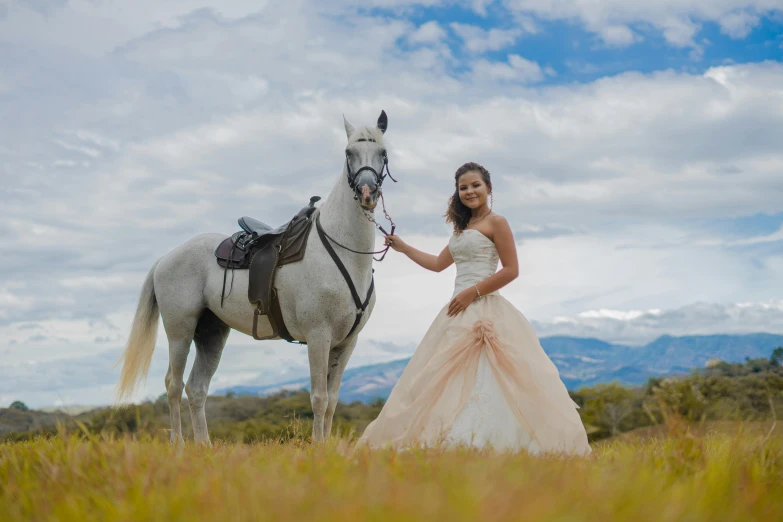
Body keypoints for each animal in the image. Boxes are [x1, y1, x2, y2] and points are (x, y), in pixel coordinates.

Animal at [115, 110, 392, 442]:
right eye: (348, 152)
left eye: (383, 153)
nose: (366, 192)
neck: (343, 251)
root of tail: (167, 257)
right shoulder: (318, 336)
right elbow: (319, 398)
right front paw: (317, 446)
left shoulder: (346, 343)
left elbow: (333, 401)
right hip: (180, 330)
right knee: (173, 385)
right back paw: (179, 445)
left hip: (211, 333)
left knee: (196, 388)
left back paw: (204, 446)